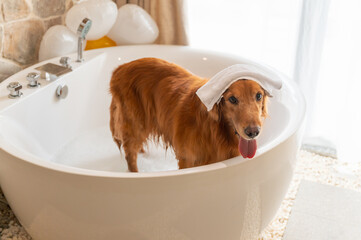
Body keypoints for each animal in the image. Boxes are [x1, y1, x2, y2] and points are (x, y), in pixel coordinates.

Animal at [109, 57, 268, 172]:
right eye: (233, 99)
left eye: (258, 96)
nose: (253, 132)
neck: (214, 130)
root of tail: (119, 68)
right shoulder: (187, 160)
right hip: (135, 124)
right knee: (130, 154)